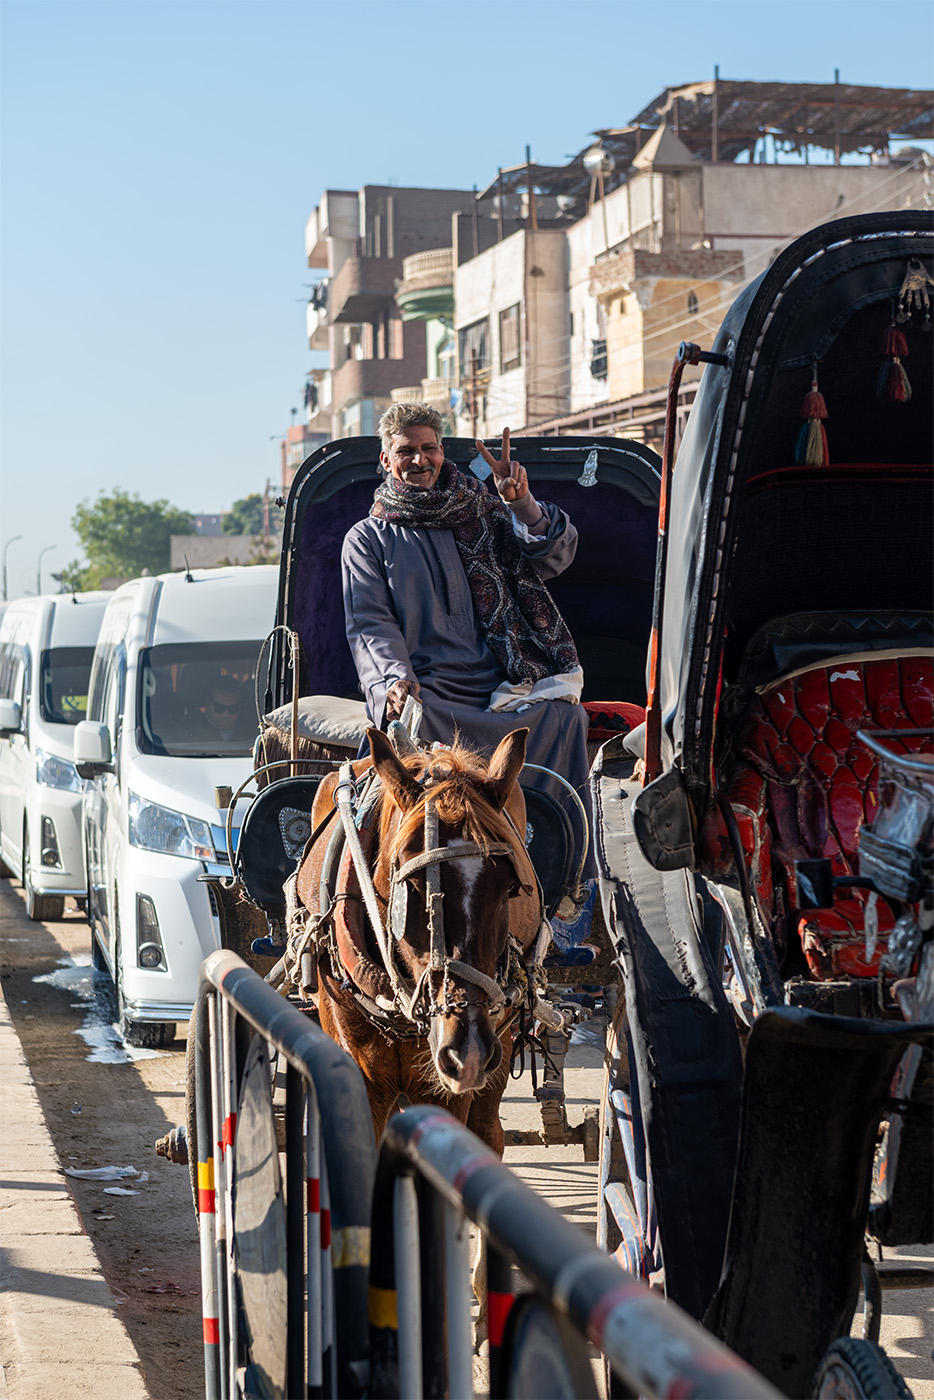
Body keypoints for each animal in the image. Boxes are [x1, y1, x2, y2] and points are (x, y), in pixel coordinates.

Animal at [292, 728, 540, 1153]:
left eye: (509, 888)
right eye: (411, 887)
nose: (468, 1048)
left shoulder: (447, 1084)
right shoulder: (361, 1069)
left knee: (488, 1127)